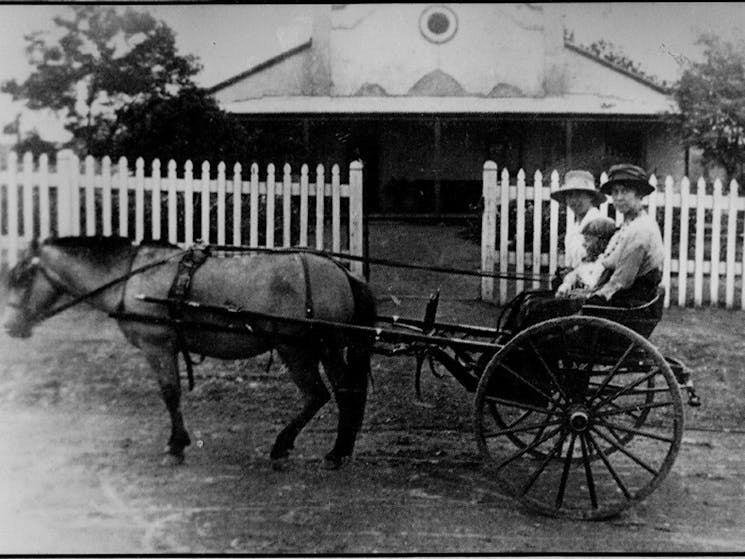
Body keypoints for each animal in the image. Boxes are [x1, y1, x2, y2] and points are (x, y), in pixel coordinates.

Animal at [2, 234, 378, 470]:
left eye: (22, 276)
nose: (10, 326)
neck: (130, 277)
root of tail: (342, 272)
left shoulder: (158, 346)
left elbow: (170, 393)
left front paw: (176, 445)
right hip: (328, 347)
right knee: (346, 392)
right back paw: (338, 451)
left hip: (297, 348)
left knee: (317, 395)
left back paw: (284, 445)